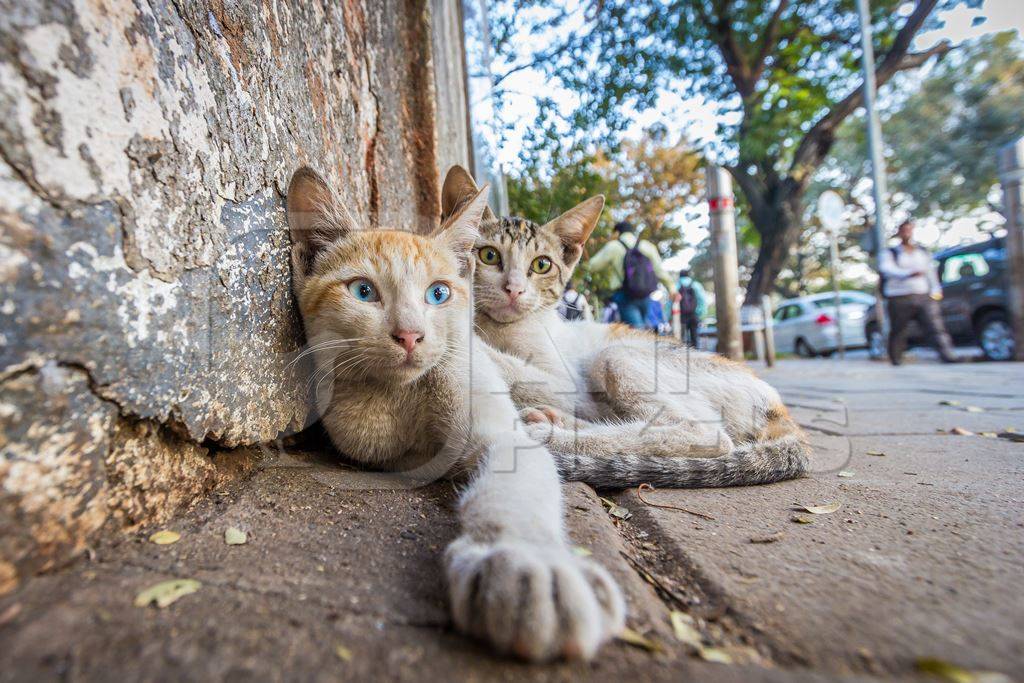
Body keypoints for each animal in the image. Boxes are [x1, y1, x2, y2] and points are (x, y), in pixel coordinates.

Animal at [286, 166, 622, 663]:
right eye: (363, 291)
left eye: (438, 293)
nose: (410, 335)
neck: (395, 400)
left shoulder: (497, 421)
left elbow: (513, 484)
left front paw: (527, 560)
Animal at [440, 165, 806, 489]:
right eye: (489, 256)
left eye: (541, 265)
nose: (514, 289)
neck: (501, 328)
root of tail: (778, 407)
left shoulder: (569, 383)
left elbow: (517, 370)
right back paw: (556, 421)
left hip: (617, 355)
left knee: (708, 434)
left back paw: (548, 434)